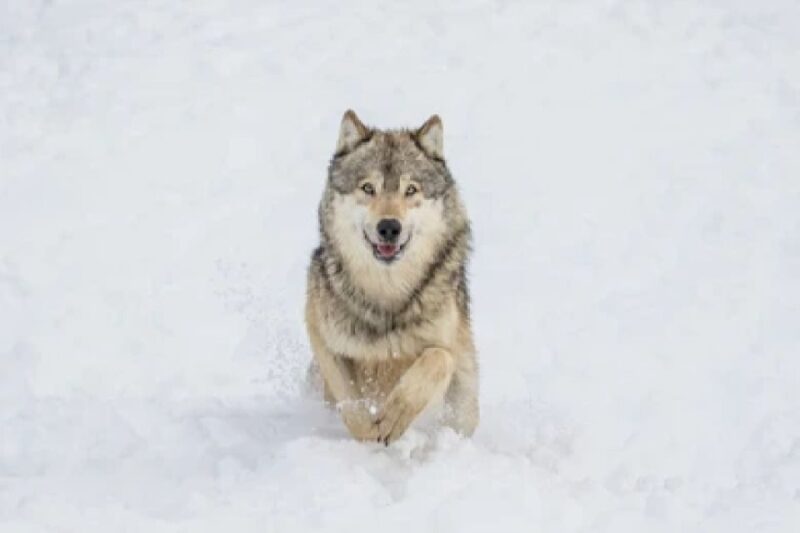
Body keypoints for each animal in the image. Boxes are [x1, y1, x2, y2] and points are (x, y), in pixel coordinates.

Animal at [305, 110, 478, 445]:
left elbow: (436, 359)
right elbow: (350, 401)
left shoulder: (447, 350)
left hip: (465, 400)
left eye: (410, 190)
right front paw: (367, 434)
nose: (389, 227)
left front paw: (395, 415)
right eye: (368, 188)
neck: (387, 292)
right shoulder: (322, 335)